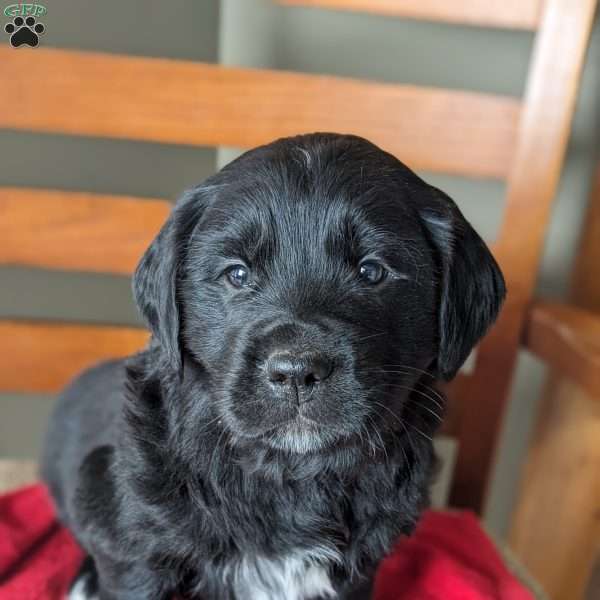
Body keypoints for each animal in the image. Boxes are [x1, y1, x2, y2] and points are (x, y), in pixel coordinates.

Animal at [39, 135, 504, 600]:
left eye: (372, 271)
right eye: (237, 274)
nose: (296, 372)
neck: (291, 473)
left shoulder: (357, 571)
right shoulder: (136, 549)